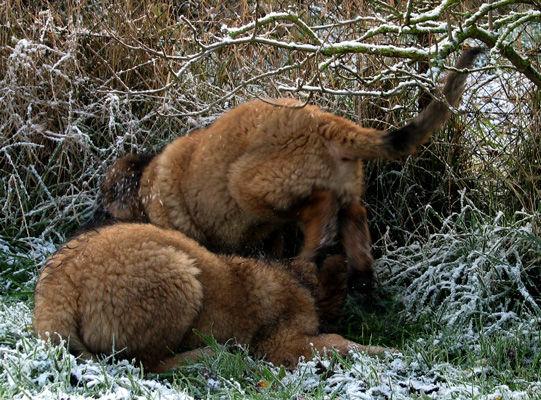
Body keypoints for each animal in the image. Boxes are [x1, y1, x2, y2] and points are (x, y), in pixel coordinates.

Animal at [33, 223, 390, 374]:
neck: (300, 280)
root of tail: (57, 289)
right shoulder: (281, 342)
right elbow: (338, 342)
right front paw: (385, 351)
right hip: (179, 276)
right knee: (147, 363)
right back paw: (206, 355)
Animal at [92, 48, 480, 292]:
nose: (90, 224)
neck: (146, 185)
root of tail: (325, 124)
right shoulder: (267, 237)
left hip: (251, 185)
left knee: (321, 209)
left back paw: (311, 257)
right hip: (337, 189)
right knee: (353, 216)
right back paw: (360, 279)